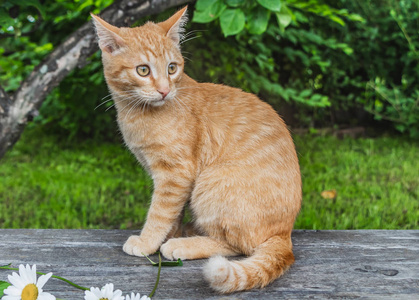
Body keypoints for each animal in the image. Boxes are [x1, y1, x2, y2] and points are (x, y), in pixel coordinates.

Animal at [92, 6, 302, 292]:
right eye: (143, 70)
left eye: (171, 68)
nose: (164, 90)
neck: (139, 114)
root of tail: (284, 233)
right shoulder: (171, 179)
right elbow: (173, 214)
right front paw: (167, 235)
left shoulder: (176, 173)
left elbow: (159, 212)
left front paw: (148, 242)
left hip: (211, 182)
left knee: (238, 246)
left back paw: (185, 245)